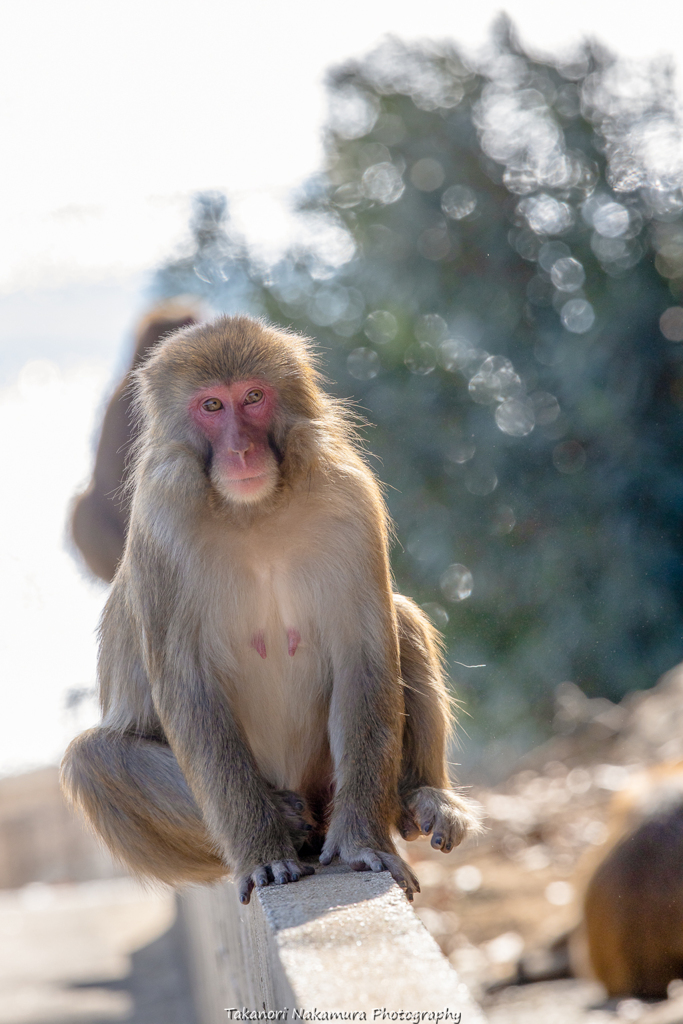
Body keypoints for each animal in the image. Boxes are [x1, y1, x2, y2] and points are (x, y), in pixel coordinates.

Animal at [62, 315, 481, 901]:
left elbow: (366, 655)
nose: (241, 450)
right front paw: (262, 853)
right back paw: (286, 819)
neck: (253, 512)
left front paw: (361, 843)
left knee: (403, 621)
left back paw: (419, 800)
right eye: (212, 406)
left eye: (254, 398)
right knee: (92, 762)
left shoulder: (350, 497)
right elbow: (188, 686)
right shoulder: (163, 517)